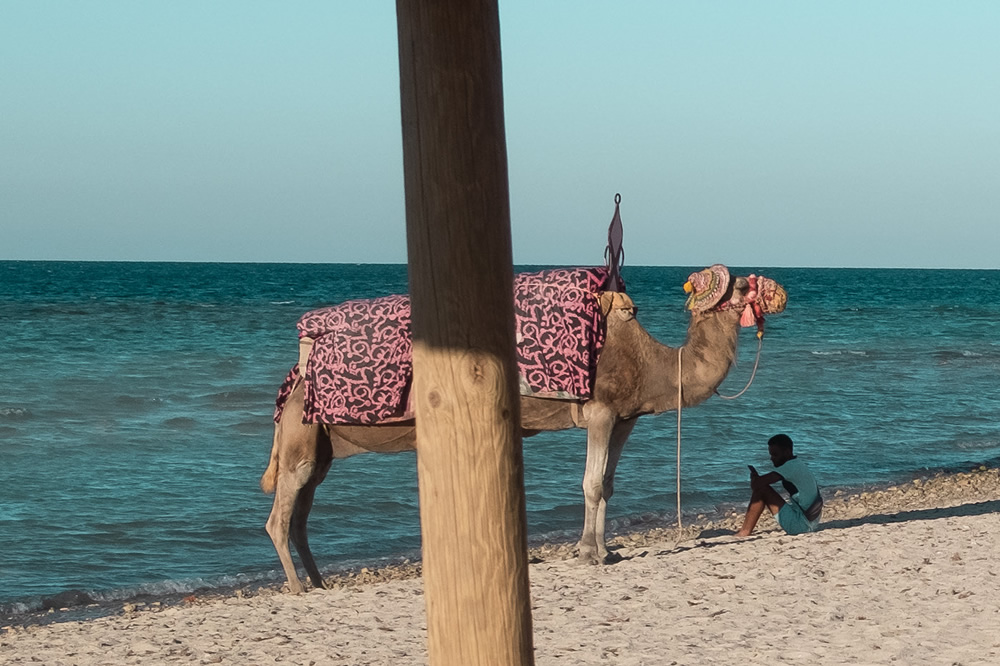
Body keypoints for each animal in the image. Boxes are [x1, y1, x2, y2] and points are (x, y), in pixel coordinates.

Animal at [260, 264, 788, 592]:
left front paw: (606, 552)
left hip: (321, 447)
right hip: (301, 439)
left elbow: (608, 485)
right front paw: (588, 553)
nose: (777, 293)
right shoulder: (599, 410)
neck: (654, 361)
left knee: (301, 514)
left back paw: (319, 582)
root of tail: (296, 376)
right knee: (279, 517)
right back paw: (296, 588)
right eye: (745, 288)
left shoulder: (625, 419)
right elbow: (591, 483)